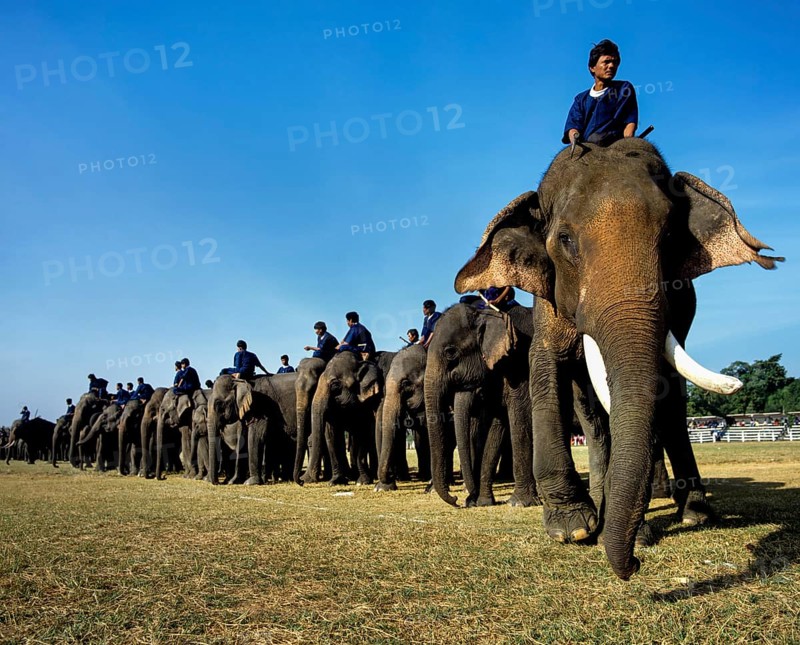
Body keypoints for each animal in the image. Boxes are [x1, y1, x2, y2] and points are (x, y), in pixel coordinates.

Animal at [306, 351, 393, 486]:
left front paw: (363, 482)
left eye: (335, 385)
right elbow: (331, 433)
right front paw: (335, 481)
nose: (302, 481)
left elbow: (364, 432)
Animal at [424, 303, 539, 508]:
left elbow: (521, 417)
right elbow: (497, 427)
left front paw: (518, 502)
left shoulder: (520, 365)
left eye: (450, 352)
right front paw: (483, 502)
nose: (457, 500)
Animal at [454, 137, 781, 579]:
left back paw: (693, 514)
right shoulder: (547, 305)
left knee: (671, 407)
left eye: (670, 237)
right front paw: (573, 528)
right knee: (593, 415)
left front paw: (631, 533)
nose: (634, 566)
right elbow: (547, 368)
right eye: (566, 240)